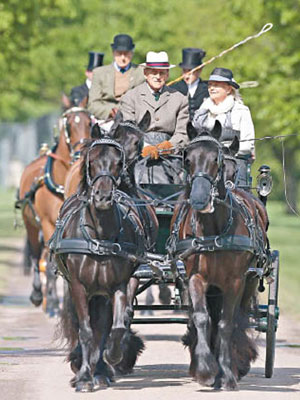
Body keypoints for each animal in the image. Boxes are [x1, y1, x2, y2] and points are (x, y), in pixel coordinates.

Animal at [16, 97, 90, 312]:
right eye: (69, 125)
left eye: (89, 122)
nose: (81, 151)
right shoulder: (49, 224)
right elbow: (49, 264)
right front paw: (54, 303)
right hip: (31, 225)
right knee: (35, 255)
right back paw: (38, 295)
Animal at [53, 134, 150, 390]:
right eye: (91, 162)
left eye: (118, 163)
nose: (103, 197)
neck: (99, 237)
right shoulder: (78, 286)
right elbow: (86, 330)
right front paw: (83, 377)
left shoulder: (116, 286)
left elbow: (113, 327)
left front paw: (110, 358)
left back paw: (101, 368)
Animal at [170, 122, 268, 390]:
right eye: (187, 159)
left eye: (217, 159)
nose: (199, 198)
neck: (213, 230)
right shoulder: (195, 278)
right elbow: (203, 318)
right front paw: (205, 369)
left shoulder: (234, 281)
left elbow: (226, 323)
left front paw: (227, 374)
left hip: (249, 281)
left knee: (239, 318)